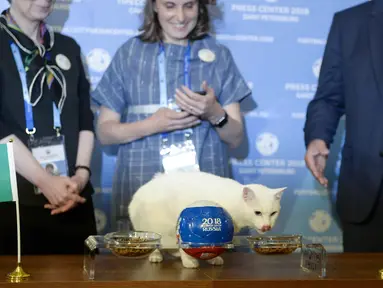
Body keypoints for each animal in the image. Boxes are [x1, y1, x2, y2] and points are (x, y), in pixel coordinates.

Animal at [127, 171, 286, 268]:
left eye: (273, 213)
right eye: (257, 213)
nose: (267, 227)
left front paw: (212, 259)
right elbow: (188, 246)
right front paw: (189, 262)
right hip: (156, 228)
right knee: (156, 244)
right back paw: (156, 256)